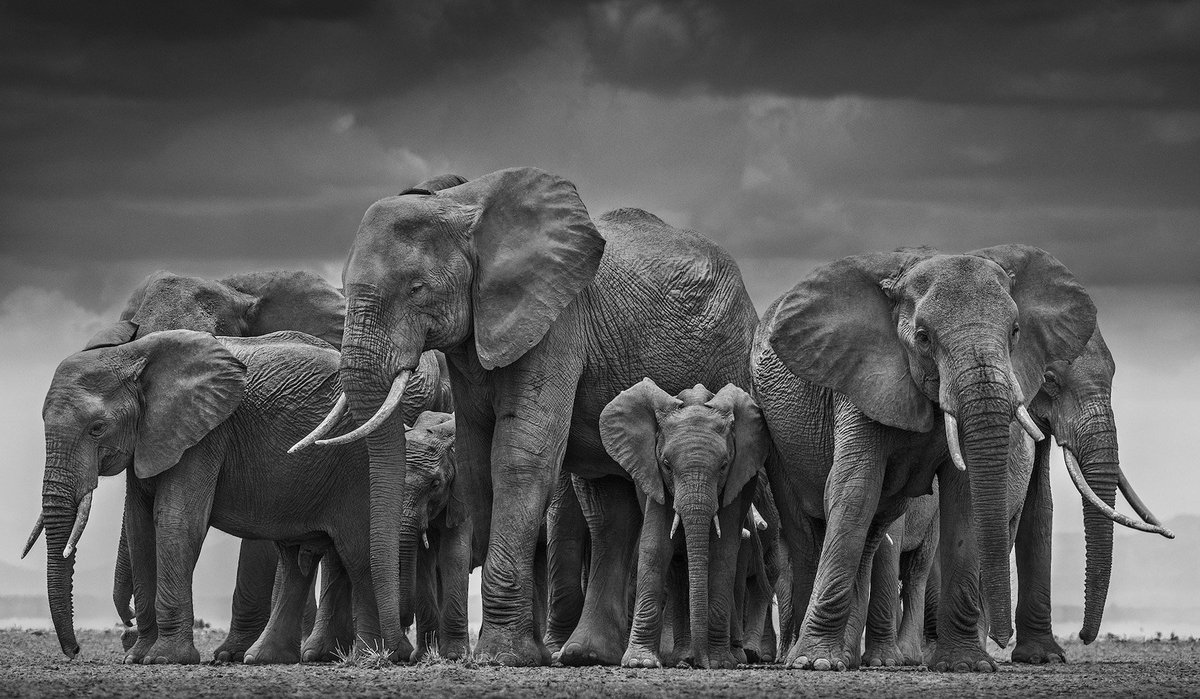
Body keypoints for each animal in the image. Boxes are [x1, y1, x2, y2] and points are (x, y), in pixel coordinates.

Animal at [31, 328, 385, 663]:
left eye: (97, 428)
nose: (75, 651)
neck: (130, 355)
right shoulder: (151, 436)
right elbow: (139, 527)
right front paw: (137, 657)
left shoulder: (204, 435)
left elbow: (175, 520)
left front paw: (164, 659)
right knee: (306, 557)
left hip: (354, 462)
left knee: (353, 551)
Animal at [598, 379, 768, 668]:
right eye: (667, 465)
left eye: (723, 466)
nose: (702, 663)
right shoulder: (653, 475)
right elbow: (657, 548)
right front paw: (640, 663)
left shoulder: (737, 482)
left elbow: (722, 552)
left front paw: (720, 663)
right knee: (677, 565)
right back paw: (684, 655)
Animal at [752, 245, 1099, 672]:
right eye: (923, 337)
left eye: (1015, 332)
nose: (1002, 640)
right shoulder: (858, 378)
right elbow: (854, 489)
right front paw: (814, 663)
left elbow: (964, 501)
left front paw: (967, 665)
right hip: (778, 438)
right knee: (805, 533)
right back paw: (799, 656)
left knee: (875, 531)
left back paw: (849, 656)